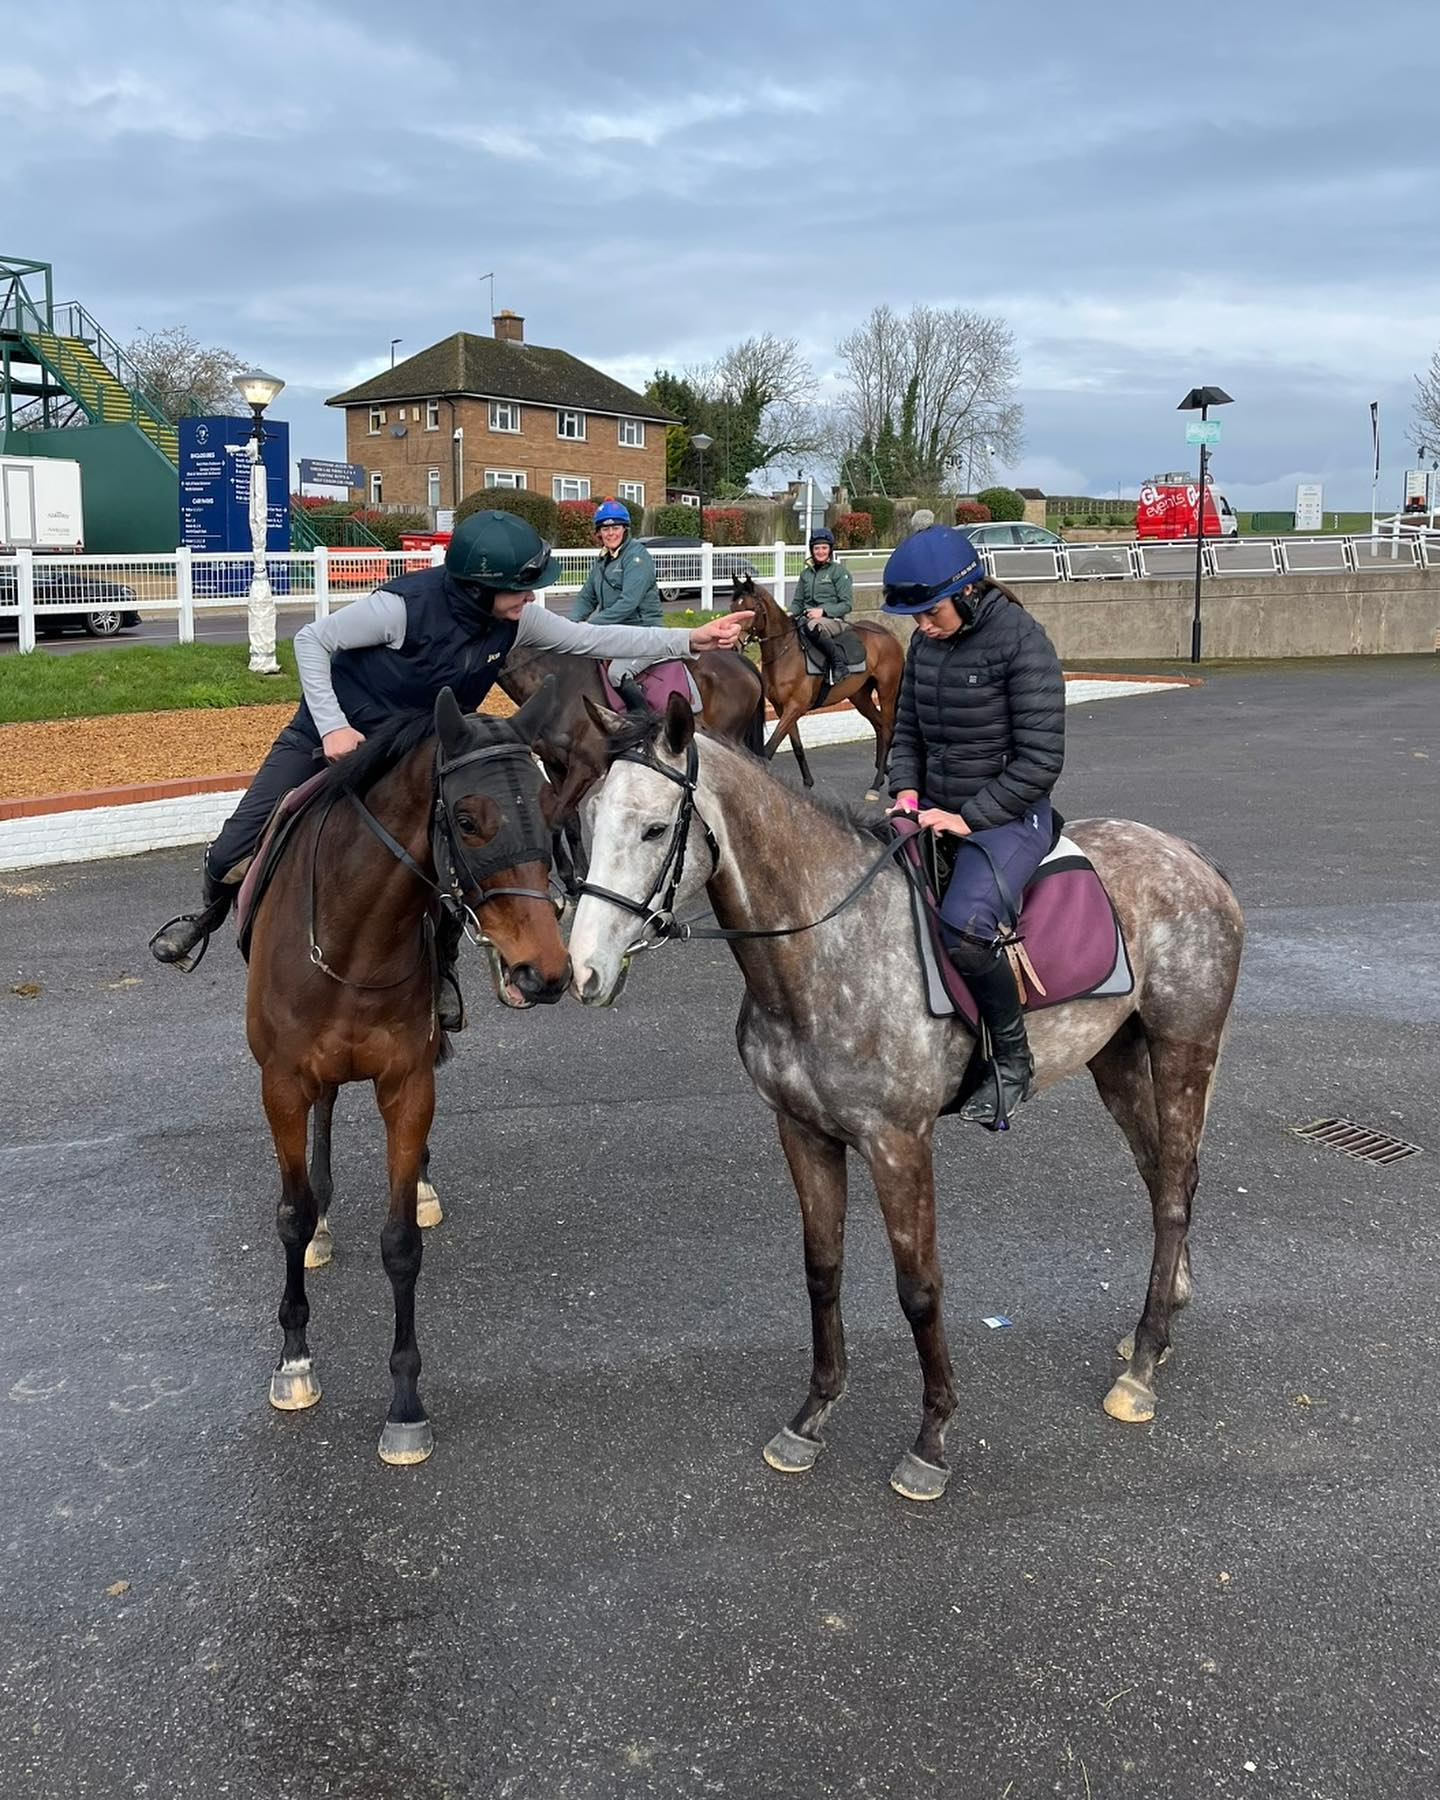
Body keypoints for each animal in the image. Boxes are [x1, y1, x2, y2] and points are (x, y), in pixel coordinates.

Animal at [568, 702, 1245, 1504]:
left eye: (651, 829)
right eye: (587, 818)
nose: (583, 972)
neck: (825, 948)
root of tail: (1189, 856)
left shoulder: (898, 1143)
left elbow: (919, 1289)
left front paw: (931, 1441)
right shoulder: (802, 1131)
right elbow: (821, 1270)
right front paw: (812, 1416)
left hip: (1182, 1047)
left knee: (1172, 1189)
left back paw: (1141, 1368)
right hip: (1115, 1058)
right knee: (1162, 1173)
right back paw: (1161, 1319)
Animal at [738, 576, 907, 802]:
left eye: (749, 609)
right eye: (733, 607)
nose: (735, 642)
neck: (785, 650)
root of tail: (888, 635)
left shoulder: (795, 707)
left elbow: (769, 748)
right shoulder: (784, 709)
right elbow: (797, 746)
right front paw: (807, 783)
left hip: (887, 691)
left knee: (887, 729)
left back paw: (875, 785)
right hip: (860, 696)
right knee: (879, 725)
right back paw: (881, 774)